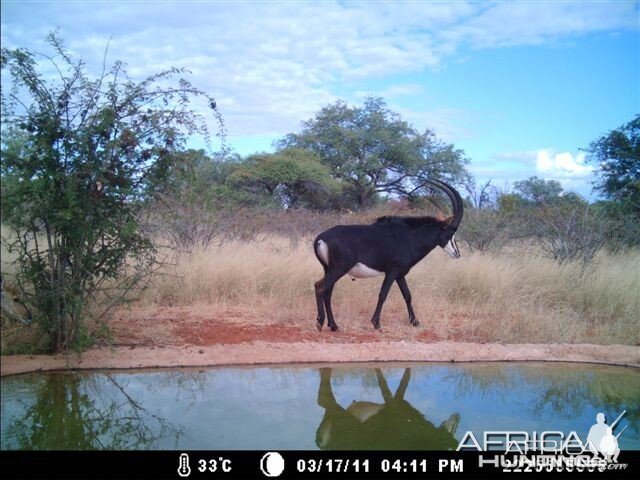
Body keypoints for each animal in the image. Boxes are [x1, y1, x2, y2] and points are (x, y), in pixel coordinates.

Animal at [312, 178, 462, 332]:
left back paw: (333, 325)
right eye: (451, 233)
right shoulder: (392, 271)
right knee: (320, 287)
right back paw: (320, 322)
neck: (410, 237)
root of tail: (321, 238)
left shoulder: (400, 274)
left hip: (329, 269)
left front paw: (415, 321)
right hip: (339, 269)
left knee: (328, 293)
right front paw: (376, 323)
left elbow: (407, 295)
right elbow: (383, 294)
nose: (457, 253)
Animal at [316, 368, 460, 450]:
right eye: (452, 431)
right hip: (344, 419)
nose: (458, 416)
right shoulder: (395, 405)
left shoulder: (397, 403)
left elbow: (404, 379)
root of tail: (322, 444)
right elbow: (388, 385)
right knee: (323, 399)